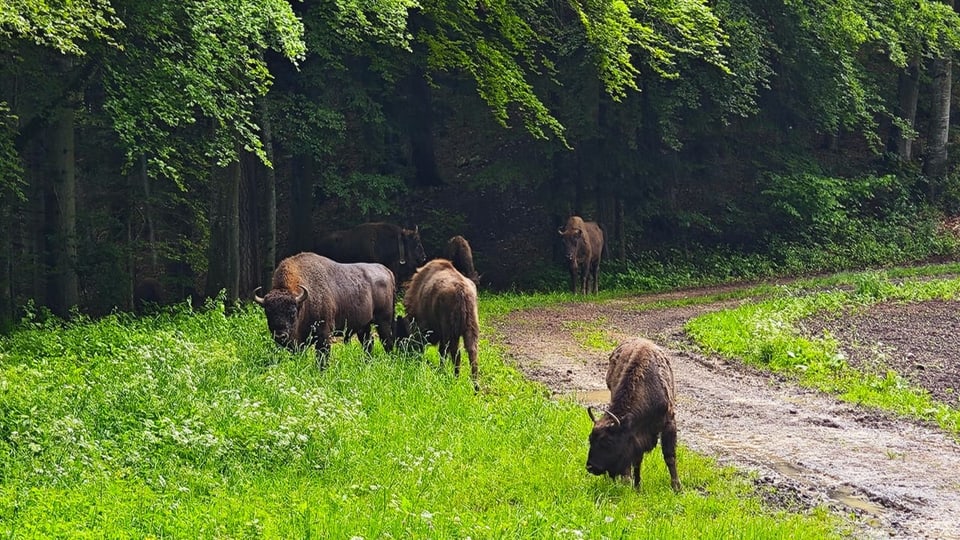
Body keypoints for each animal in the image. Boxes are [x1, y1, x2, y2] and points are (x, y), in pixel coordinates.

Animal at [253, 252, 396, 362]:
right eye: (268, 313)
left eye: (292, 312)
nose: (280, 336)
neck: (304, 301)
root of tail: (386, 270)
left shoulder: (323, 334)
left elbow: (322, 356)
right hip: (363, 325)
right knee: (368, 342)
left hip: (383, 320)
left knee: (387, 340)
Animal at [398, 258, 480, 388]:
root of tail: (461, 290)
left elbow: (442, 352)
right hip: (470, 329)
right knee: (471, 354)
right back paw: (475, 386)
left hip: (450, 332)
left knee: (455, 354)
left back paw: (455, 378)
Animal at [584, 338, 684, 494]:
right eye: (590, 439)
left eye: (609, 441)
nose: (591, 467)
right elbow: (636, 460)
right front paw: (633, 485)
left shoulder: (668, 423)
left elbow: (669, 456)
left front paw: (677, 488)